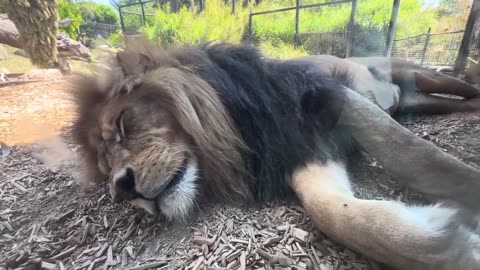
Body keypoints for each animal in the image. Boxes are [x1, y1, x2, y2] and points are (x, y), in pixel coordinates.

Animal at [70, 40, 480, 270]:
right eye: (105, 167)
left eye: (123, 123)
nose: (122, 188)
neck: (242, 137)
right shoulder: (301, 154)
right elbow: (334, 213)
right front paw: (451, 243)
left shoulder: (330, 95)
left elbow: (419, 156)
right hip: (422, 99)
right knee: (458, 102)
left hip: (421, 73)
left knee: (460, 87)